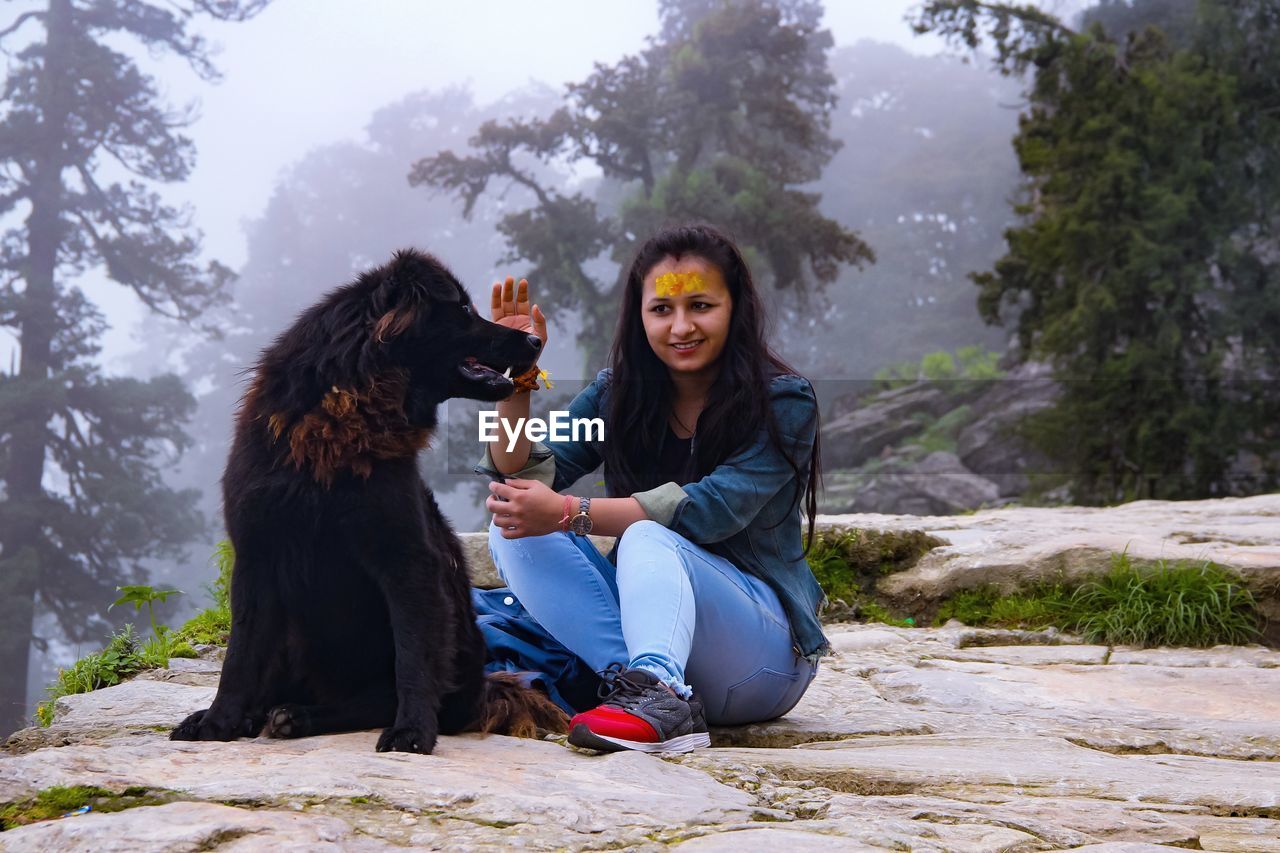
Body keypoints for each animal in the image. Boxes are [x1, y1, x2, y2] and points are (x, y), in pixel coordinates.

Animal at [170, 247, 565, 753]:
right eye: (461, 308)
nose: (534, 340)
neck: (339, 422)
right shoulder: (257, 553)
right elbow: (238, 654)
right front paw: (220, 721)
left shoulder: (407, 558)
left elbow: (413, 657)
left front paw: (412, 730)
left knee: (380, 696)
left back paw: (298, 716)